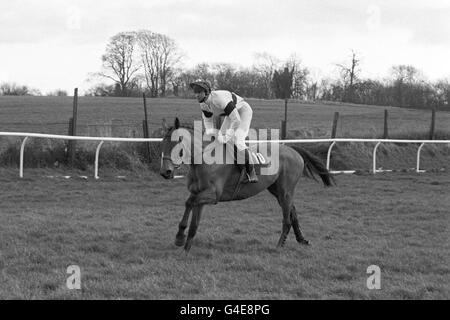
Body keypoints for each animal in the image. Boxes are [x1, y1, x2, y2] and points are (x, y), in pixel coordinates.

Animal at [159, 117, 334, 252]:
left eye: (177, 142)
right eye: (162, 142)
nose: (165, 172)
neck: (204, 159)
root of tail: (293, 150)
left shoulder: (213, 195)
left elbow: (189, 203)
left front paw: (180, 237)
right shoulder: (199, 194)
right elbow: (193, 220)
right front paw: (185, 244)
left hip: (285, 190)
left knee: (287, 218)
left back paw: (280, 245)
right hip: (276, 190)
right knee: (293, 212)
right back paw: (302, 239)